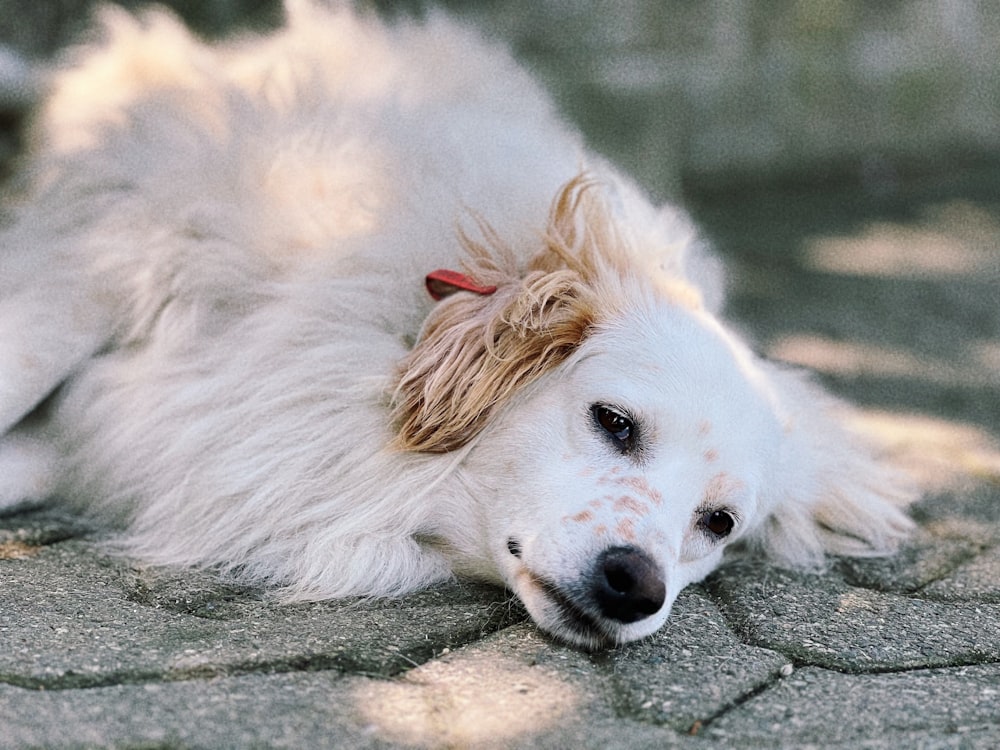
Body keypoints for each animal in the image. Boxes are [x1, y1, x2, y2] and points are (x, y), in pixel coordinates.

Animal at [0, 0, 916, 648]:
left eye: (719, 523)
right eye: (613, 422)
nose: (636, 584)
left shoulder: (150, 436)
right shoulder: (98, 265)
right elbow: (24, 366)